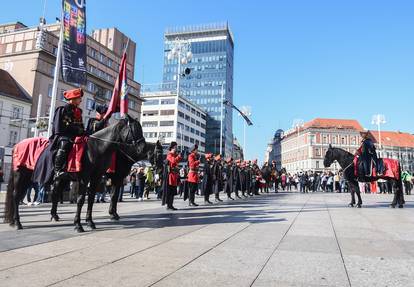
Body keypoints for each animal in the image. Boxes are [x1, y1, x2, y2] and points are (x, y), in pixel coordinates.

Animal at [4, 115, 146, 232]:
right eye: (135, 129)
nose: (142, 147)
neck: (96, 147)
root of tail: (17, 145)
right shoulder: (87, 178)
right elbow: (81, 199)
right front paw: (78, 225)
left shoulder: (96, 178)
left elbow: (92, 199)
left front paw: (90, 222)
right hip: (20, 174)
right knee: (16, 195)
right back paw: (18, 223)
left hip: (50, 178)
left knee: (54, 194)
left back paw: (52, 216)